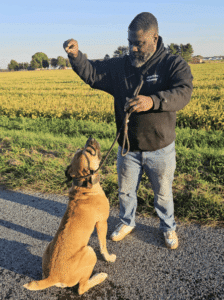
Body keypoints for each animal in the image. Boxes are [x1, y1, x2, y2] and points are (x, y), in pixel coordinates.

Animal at [23, 137, 116, 294]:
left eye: (83, 149)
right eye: (90, 151)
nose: (90, 138)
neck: (83, 185)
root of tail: (52, 276)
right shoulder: (102, 223)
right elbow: (103, 245)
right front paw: (109, 258)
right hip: (90, 252)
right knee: (82, 288)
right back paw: (99, 276)